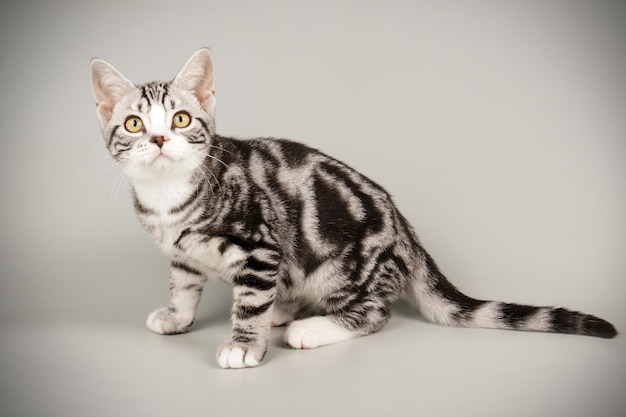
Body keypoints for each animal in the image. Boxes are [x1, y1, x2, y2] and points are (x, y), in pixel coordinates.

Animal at [88, 48, 616, 368]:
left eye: (181, 120)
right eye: (134, 124)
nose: (160, 139)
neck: (168, 198)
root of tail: (406, 231)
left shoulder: (259, 246)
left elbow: (250, 301)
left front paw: (243, 345)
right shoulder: (183, 255)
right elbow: (183, 285)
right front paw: (178, 318)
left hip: (342, 265)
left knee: (373, 312)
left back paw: (309, 327)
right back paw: (283, 310)